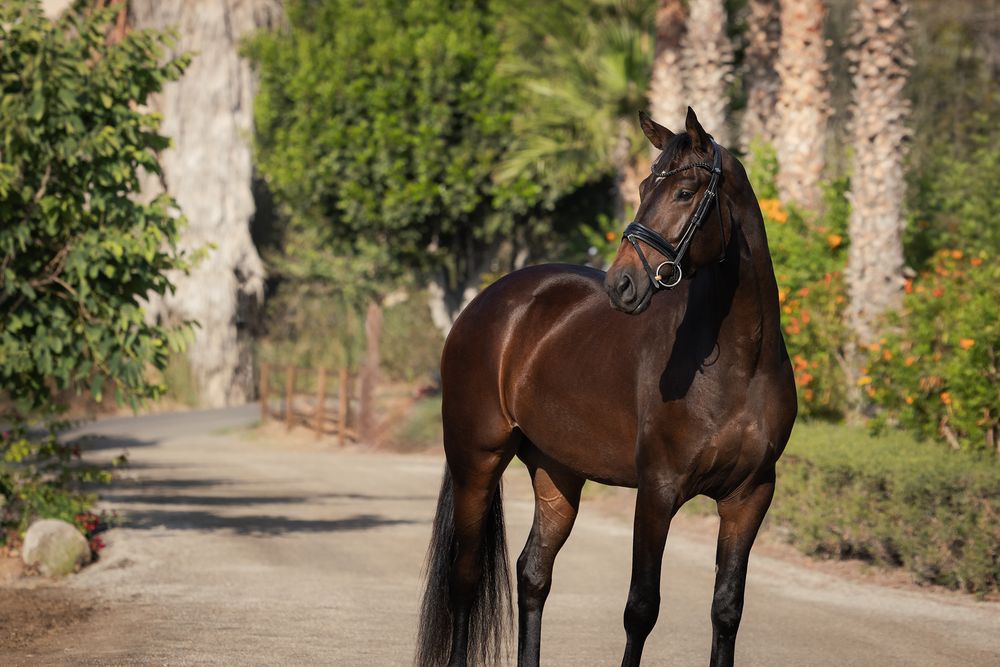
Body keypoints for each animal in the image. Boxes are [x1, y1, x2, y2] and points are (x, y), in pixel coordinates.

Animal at [416, 107, 797, 667]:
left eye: (684, 192)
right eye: (641, 187)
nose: (622, 285)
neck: (739, 365)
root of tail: (485, 303)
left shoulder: (750, 496)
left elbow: (727, 610)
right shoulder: (658, 490)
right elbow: (641, 608)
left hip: (558, 473)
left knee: (533, 573)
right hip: (476, 461)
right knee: (465, 578)